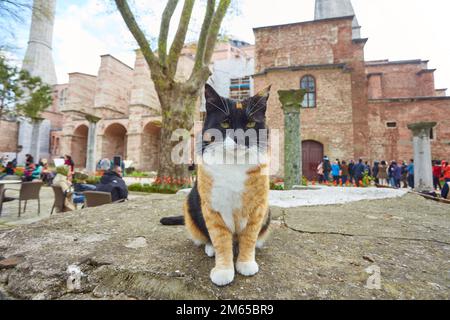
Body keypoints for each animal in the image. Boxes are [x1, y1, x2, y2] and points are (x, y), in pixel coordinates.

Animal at [163, 84, 272, 286]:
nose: (239, 138)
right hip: (190, 204)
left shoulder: (257, 208)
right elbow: (221, 240)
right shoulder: (213, 208)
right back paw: (210, 248)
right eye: (225, 123)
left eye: (250, 124)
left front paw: (246, 263)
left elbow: (249, 237)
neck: (234, 165)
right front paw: (223, 271)